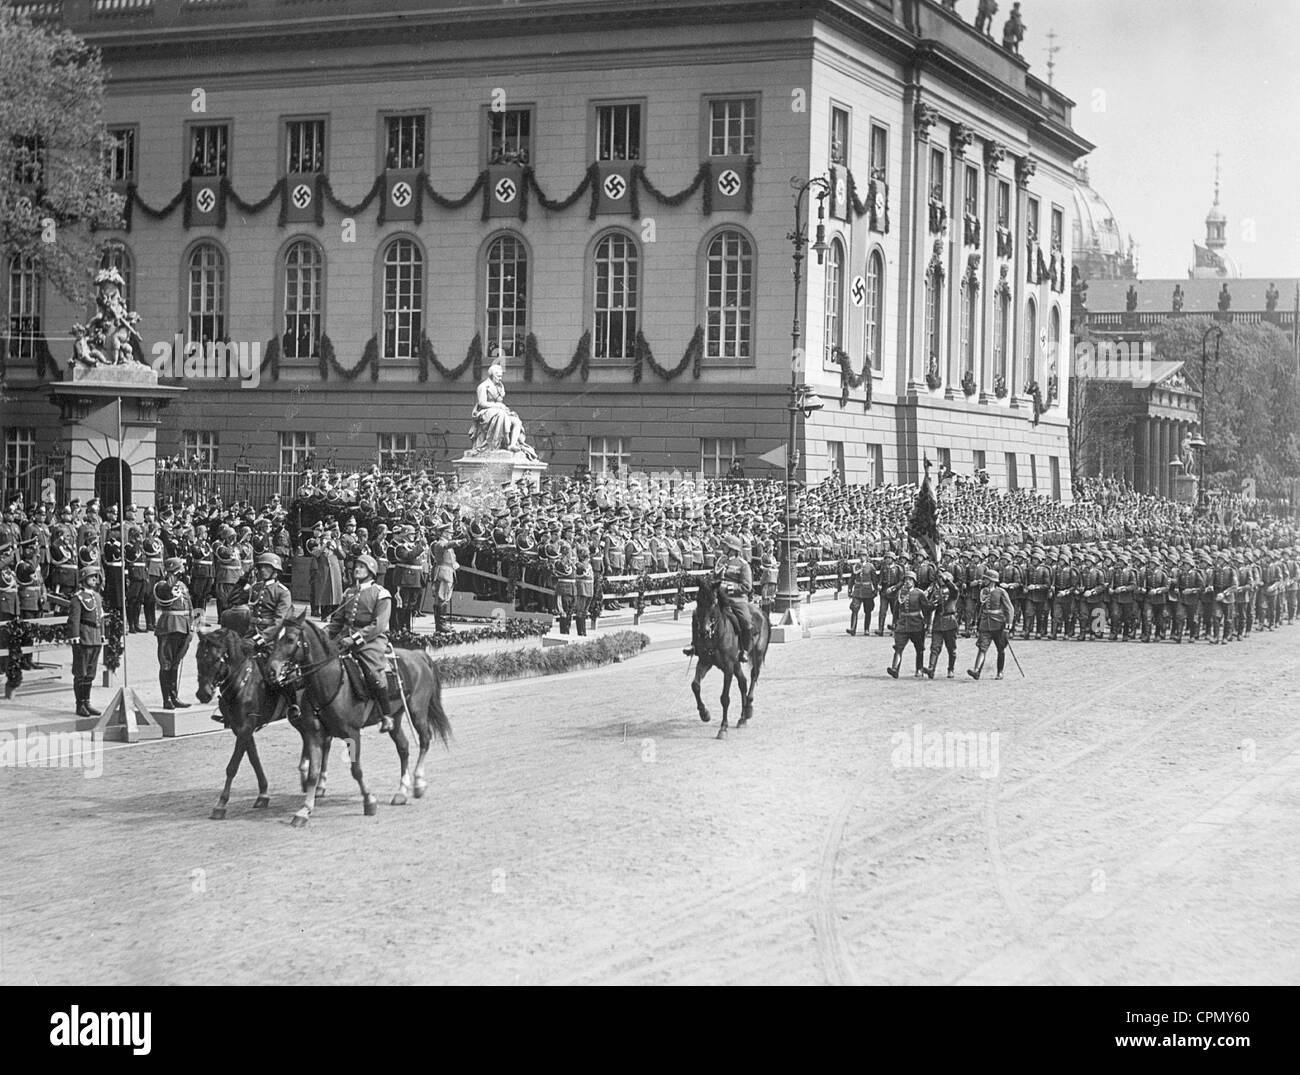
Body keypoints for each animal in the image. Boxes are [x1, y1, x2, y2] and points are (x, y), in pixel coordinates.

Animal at [263, 608, 452, 826]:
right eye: (274, 637)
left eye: (290, 639)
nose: (271, 671)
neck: (331, 681)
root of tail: (417, 654)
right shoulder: (313, 734)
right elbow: (312, 773)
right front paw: (304, 810)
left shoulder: (352, 733)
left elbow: (356, 770)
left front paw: (369, 801)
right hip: (396, 718)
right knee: (403, 748)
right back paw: (402, 791)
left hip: (417, 712)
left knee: (424, 741)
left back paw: (419, 783)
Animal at [691, 579, 769, 738]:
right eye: (698, 600)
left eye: (714, 602)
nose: (703, 631)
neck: (715, 634)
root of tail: (761, 612)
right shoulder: (705, 662)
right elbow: (695, 685)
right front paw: (704, 713)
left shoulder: (728, 666)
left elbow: (724, 698)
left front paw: (723, 727)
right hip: (736, 663)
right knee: (743, 682)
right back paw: (742, 718)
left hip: (756, 655)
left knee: (753, 676)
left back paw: (748, 707)